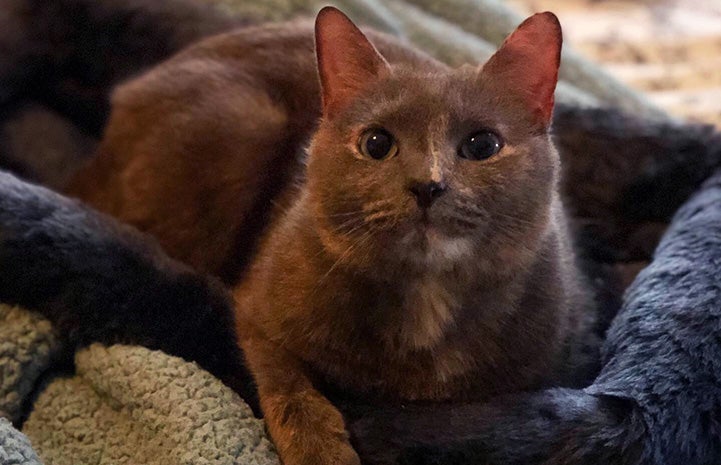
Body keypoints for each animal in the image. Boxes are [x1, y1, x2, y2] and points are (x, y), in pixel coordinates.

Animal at [66, 7, 596, 464]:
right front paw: (319, 448)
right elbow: (286, 383)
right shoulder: (256, 310)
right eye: (376, 143)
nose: (427, 184)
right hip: (238, 122)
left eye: (483, 144)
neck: (426, 300)